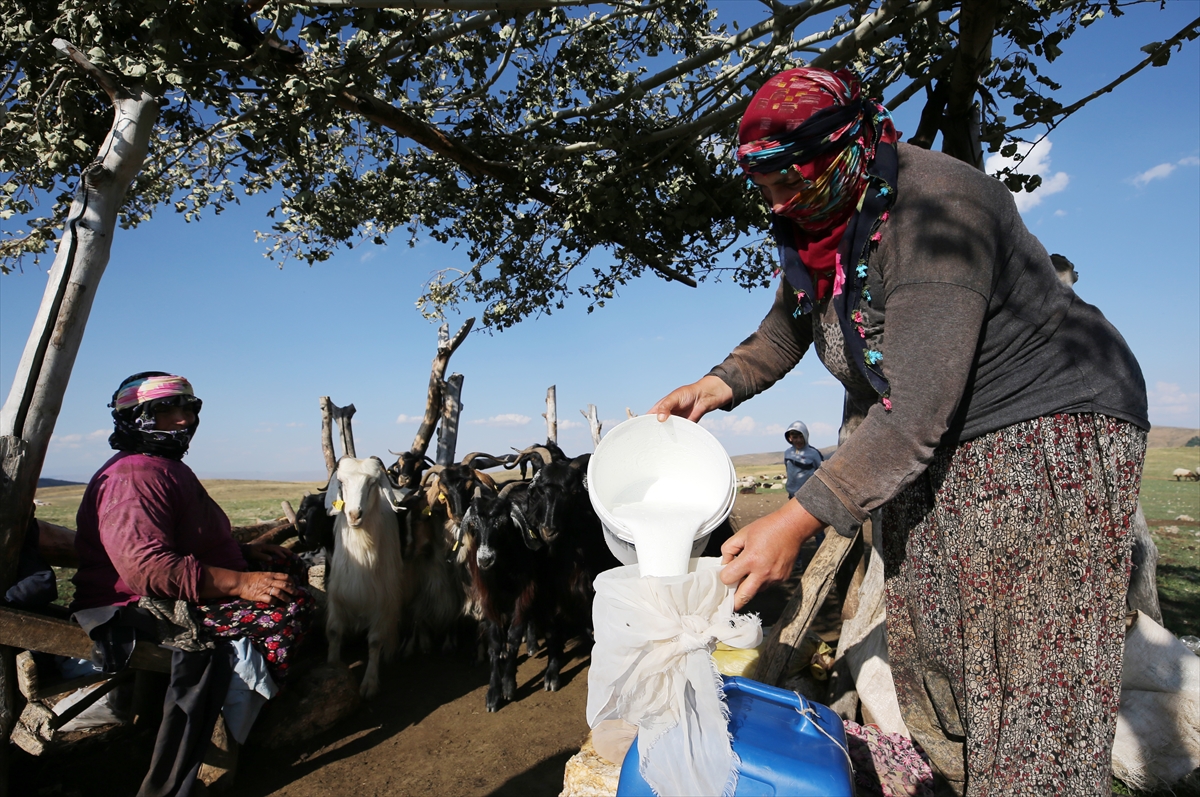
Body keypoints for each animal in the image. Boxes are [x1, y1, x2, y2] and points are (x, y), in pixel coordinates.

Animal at [326, 458, 410, 696]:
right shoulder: (337, 594)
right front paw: (332, 666)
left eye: (372, 482)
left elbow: (374, 641)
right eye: (341, 482)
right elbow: (334, 632)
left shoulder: (384, 600)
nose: (355, 515)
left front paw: (369, 683)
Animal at [463, 480, 544, 710]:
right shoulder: (488, 598)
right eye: (474, 524)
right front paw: (493, 692)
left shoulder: (526, 590)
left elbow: (514, 636)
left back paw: (532, 644)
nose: (484, 559)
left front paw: (508, 685)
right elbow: (495, 640)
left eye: (502, 523)